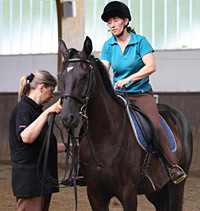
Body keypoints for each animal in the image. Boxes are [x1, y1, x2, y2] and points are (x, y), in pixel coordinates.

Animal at [58, 37, 193, 210]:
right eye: (60, 77)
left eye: (84, 76)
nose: (67, 118)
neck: (105, 138)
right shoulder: (95, 195)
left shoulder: (128, 193)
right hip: (156, 189)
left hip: (176, 185)